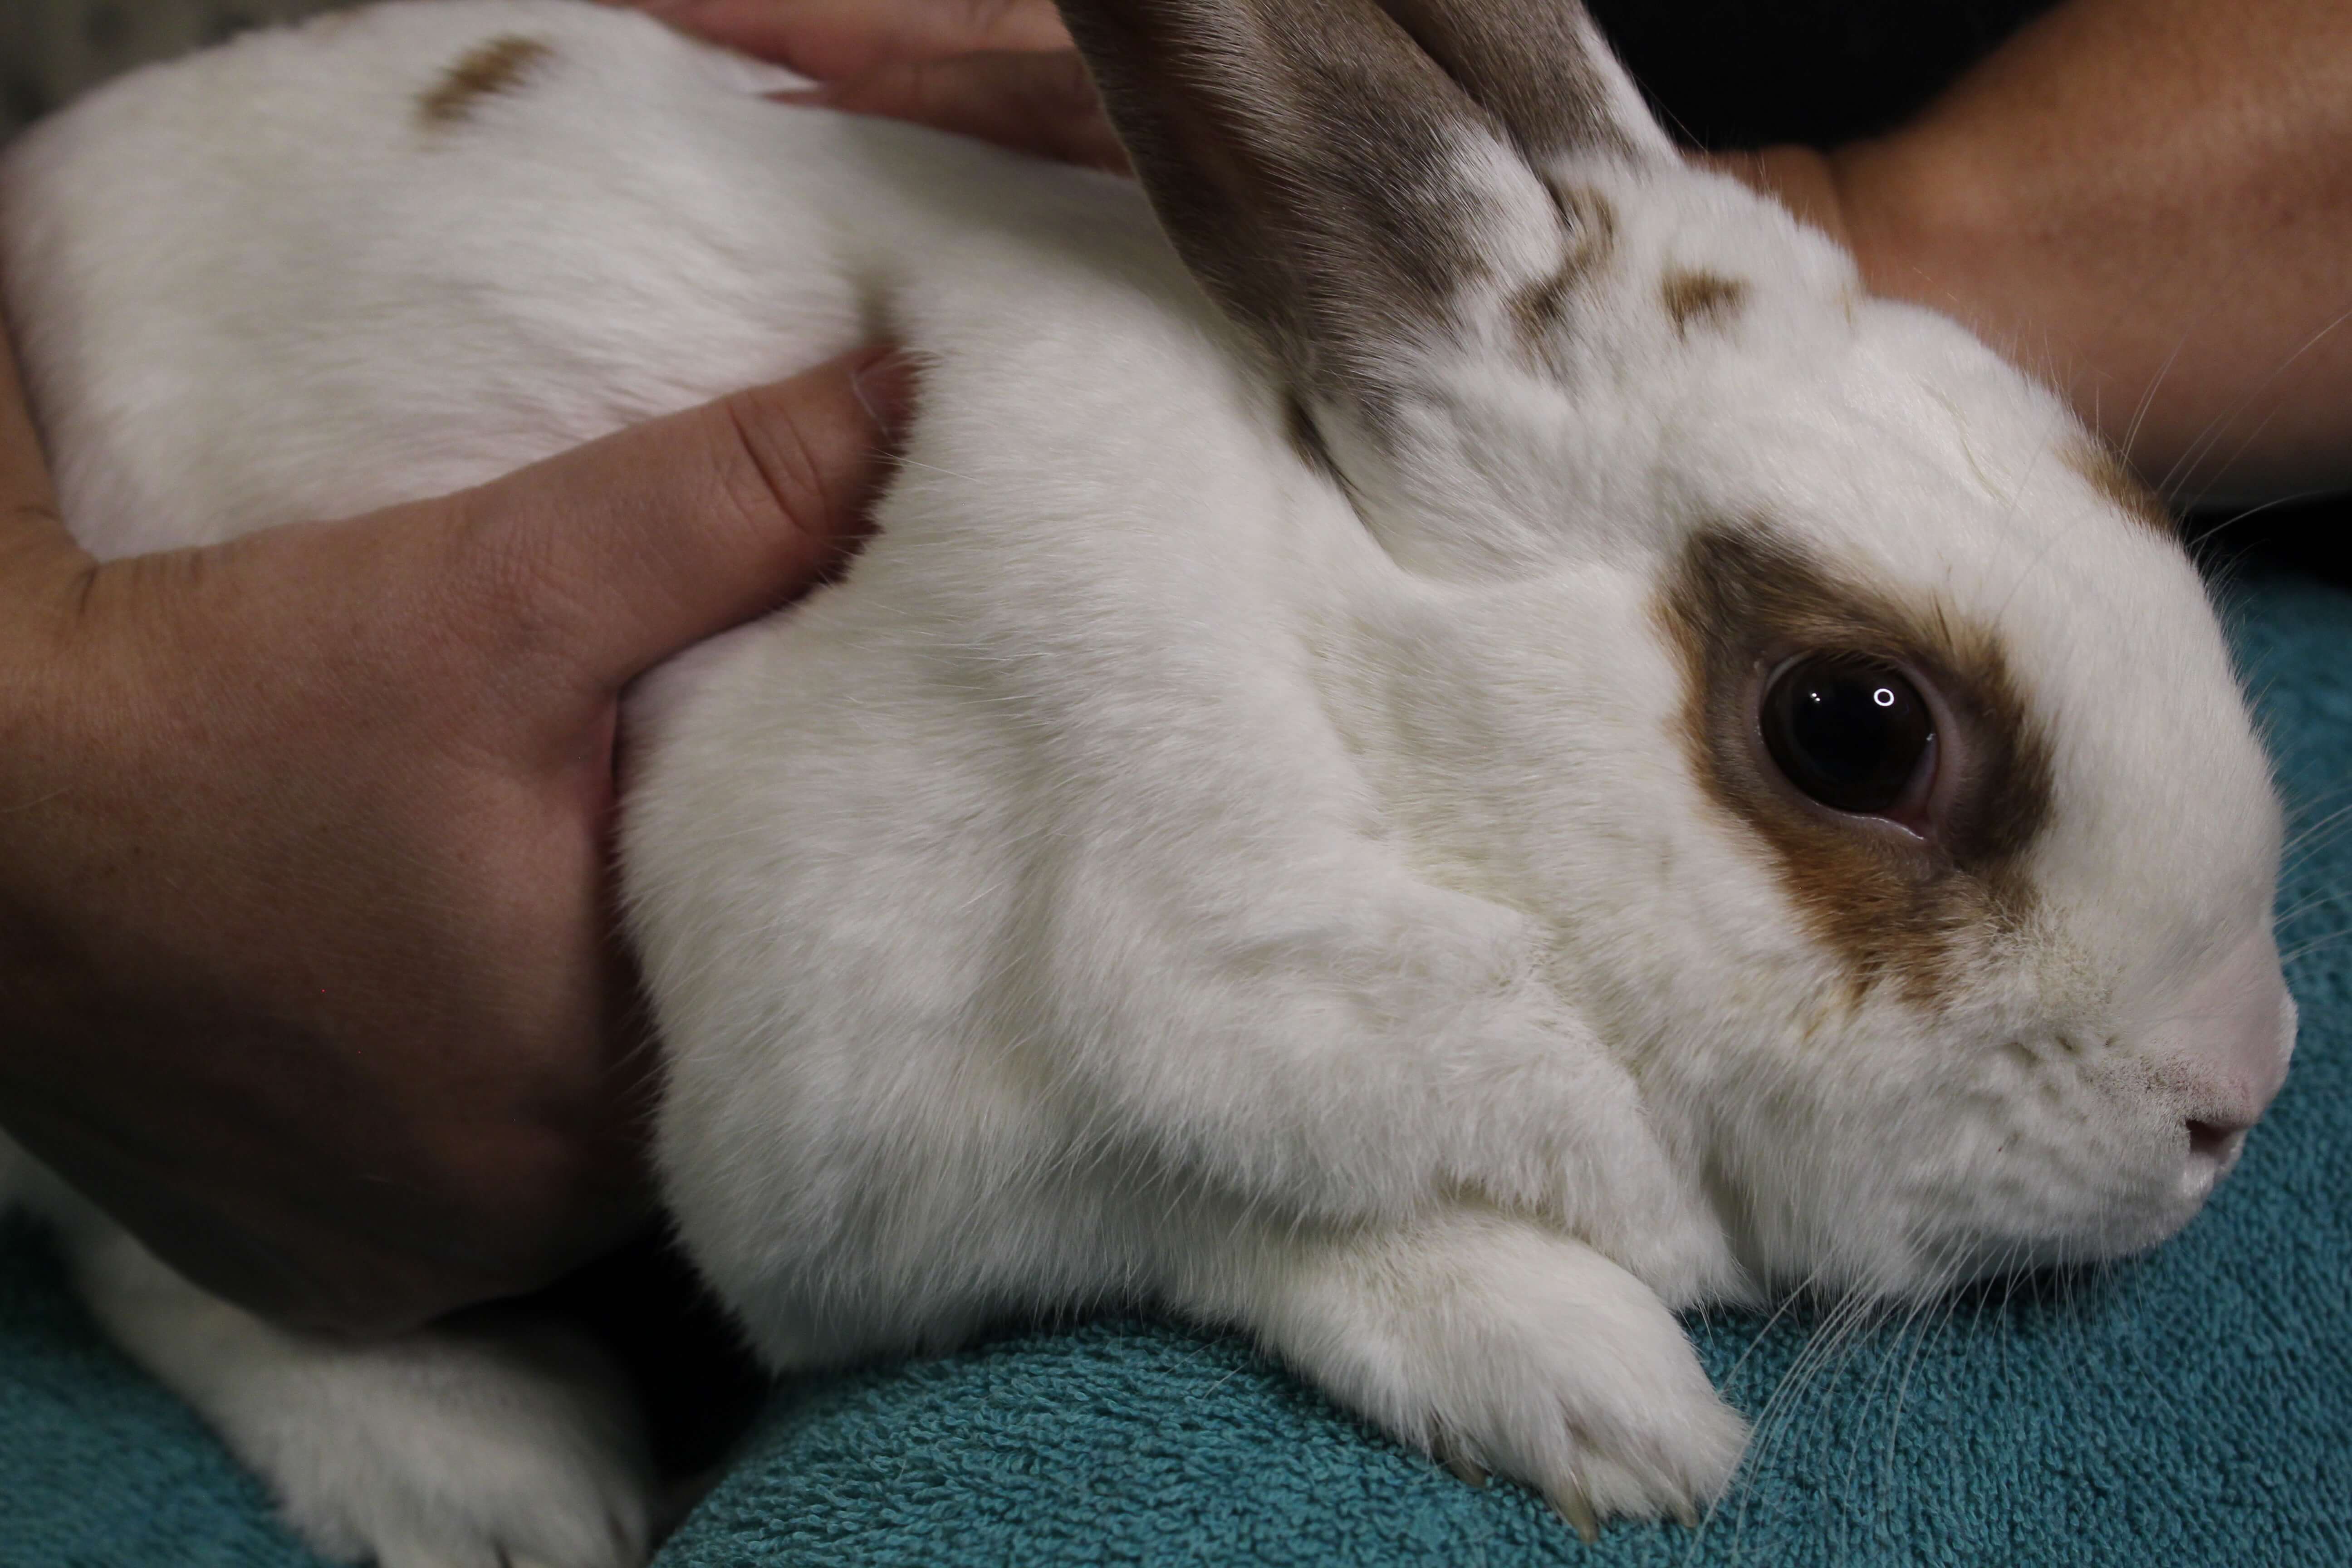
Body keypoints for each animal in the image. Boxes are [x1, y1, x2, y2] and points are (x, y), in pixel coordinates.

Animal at [0, 0, 2298, 1560]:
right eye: (1853, 727)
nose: (2242, 1090)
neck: (1341, 698)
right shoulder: (867, 1097)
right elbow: (1234, 1221)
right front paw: (1610, 1399)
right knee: (173, 1258)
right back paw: (493, 1475)